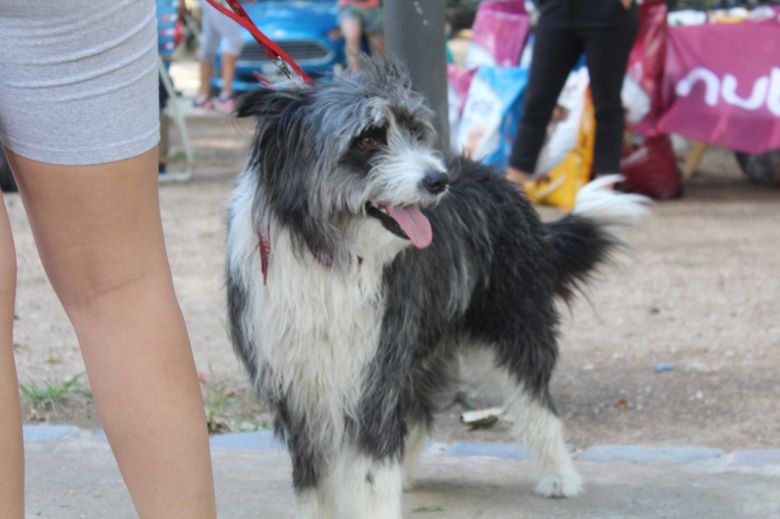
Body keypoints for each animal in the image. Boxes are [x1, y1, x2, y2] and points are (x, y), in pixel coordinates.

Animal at [224, 59, 644, 516]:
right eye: (367, 138)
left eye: (415, 131)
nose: (438, 181)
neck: (327, 248)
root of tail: (497, 179)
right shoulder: (297, 389)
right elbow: (315, 483)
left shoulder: (371, 375)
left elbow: (370, 473)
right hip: (421, 342)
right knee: (417, 411)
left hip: (515, 321)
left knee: (535, 400)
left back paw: (559, 476)